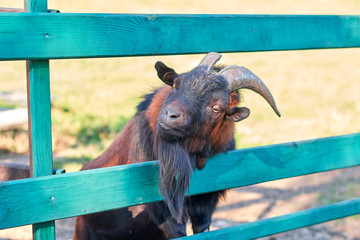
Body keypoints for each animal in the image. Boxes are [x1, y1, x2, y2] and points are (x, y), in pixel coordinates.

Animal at [73, 52, 282, 240]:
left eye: (217, 108)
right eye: (176, 84)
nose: (170, 115)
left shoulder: (206, 203)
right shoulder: (162, 208)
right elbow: (178, 231)